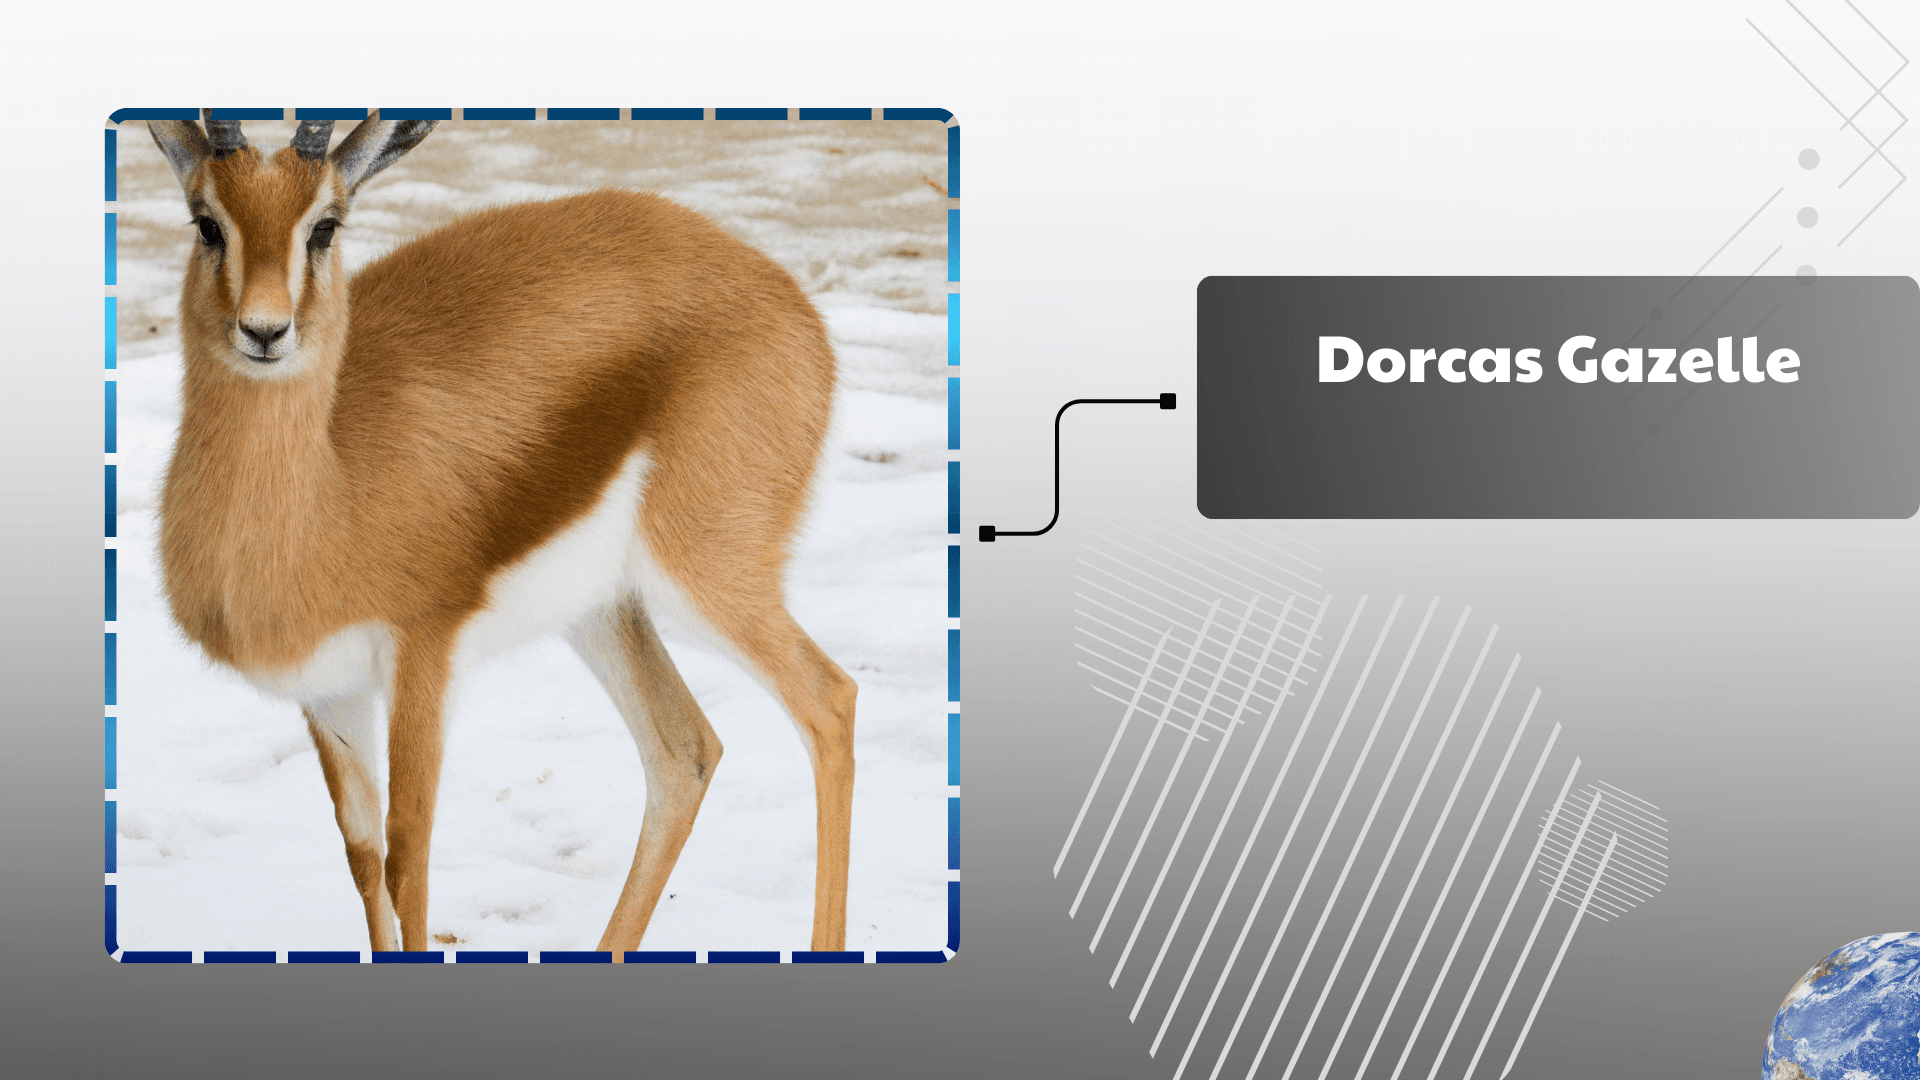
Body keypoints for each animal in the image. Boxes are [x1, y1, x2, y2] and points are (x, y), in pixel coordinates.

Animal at [145, 111, 857, 957]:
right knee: (683, 750)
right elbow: (363, 855)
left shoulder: (423, 658)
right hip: (603, 609)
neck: (329, 493)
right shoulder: (330, 693)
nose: (263, 330)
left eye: (324, 225)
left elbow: (409, 856)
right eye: (206, 222)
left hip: (707, 579)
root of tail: (788, 298)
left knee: (828, 702)